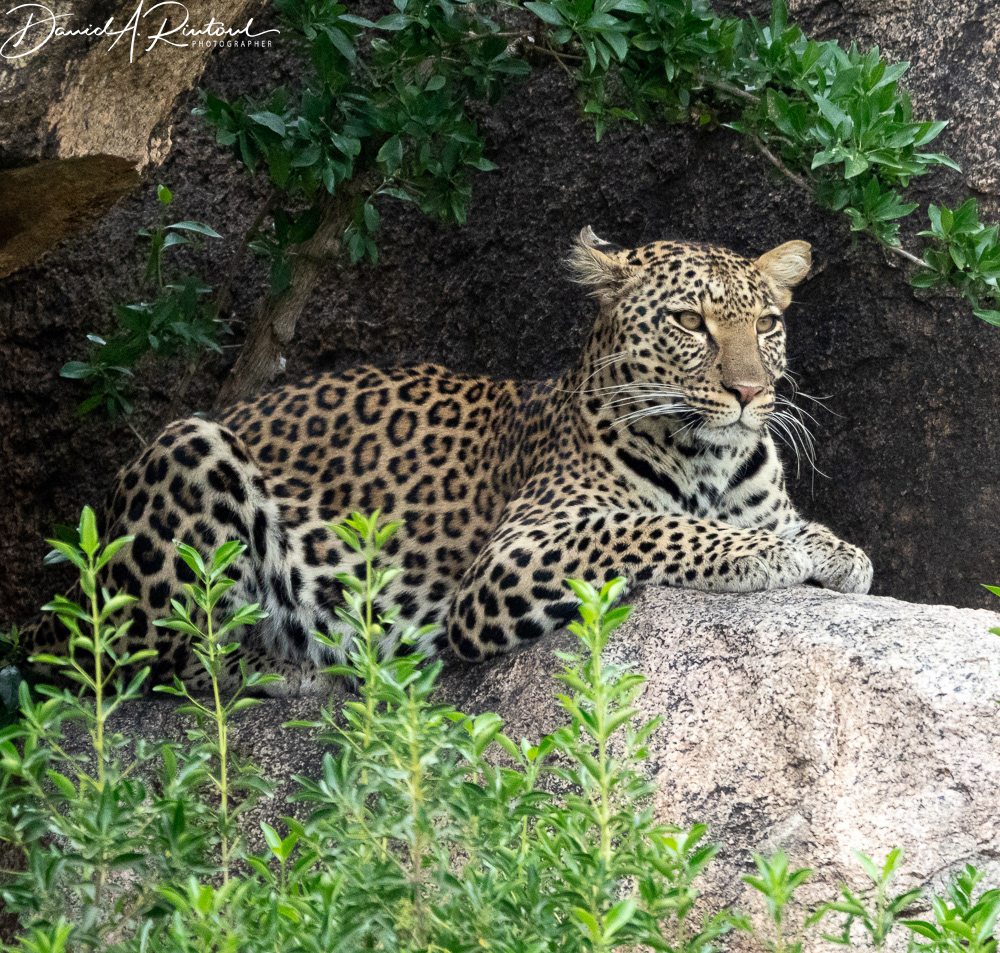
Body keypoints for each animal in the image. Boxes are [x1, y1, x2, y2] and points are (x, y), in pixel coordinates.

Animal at [22, 228, 872, 695]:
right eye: (690, 322)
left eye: (768, 324)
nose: (751, 392)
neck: (712, 457)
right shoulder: (513, 557)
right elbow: (651, 528)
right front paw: (768, 552)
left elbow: (783, 527)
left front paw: (838, 549)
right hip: (191, 446)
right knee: (150, 665)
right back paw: (302, 665)